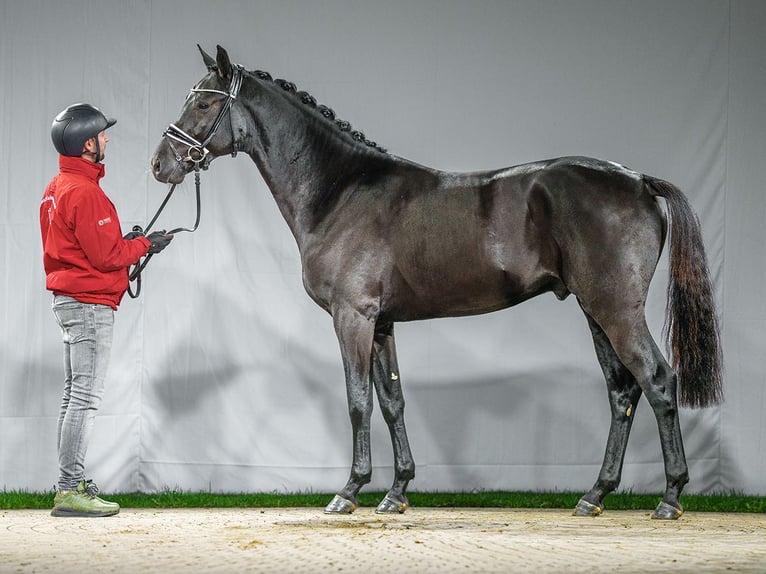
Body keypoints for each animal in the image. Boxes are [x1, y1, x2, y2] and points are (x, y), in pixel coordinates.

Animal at [152, 46, 728, 520]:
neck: (340, 190)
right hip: (595, 310)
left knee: (658, 380)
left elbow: (358, 400)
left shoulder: (352, 317)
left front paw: (349, 492)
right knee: (622, 391)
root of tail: (637, 180)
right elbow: (391, 402)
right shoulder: (381, 324)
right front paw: (395, 492)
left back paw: (670, 498)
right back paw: (594, 495)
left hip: (614, 309)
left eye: (204, 104)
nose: (159, 164)